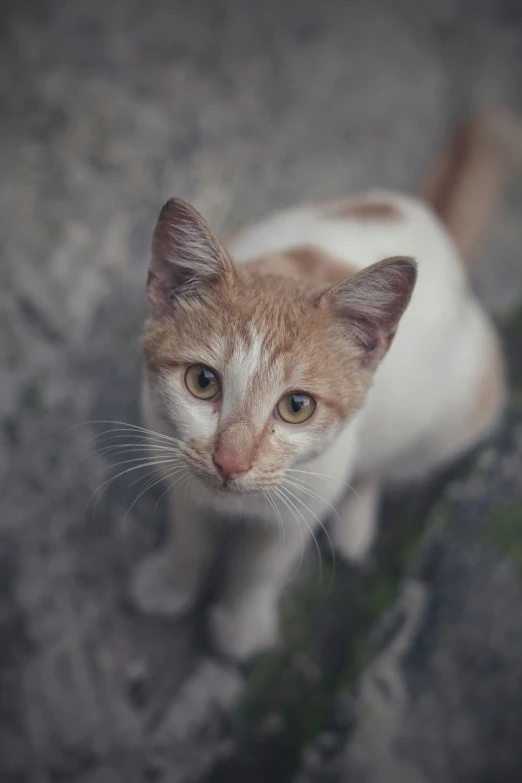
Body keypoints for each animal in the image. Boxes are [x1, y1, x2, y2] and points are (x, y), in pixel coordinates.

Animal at [128, 110, 516, 660]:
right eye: (202, 382)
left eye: (297, 407)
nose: (230, 463)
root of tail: (426, 217)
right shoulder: (172, 457)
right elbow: (190, 536)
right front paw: (173, 584)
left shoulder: (305, 499)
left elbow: (260, 568)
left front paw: (241, 625)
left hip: (459, 412)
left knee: (387, 466)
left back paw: (355, 524)